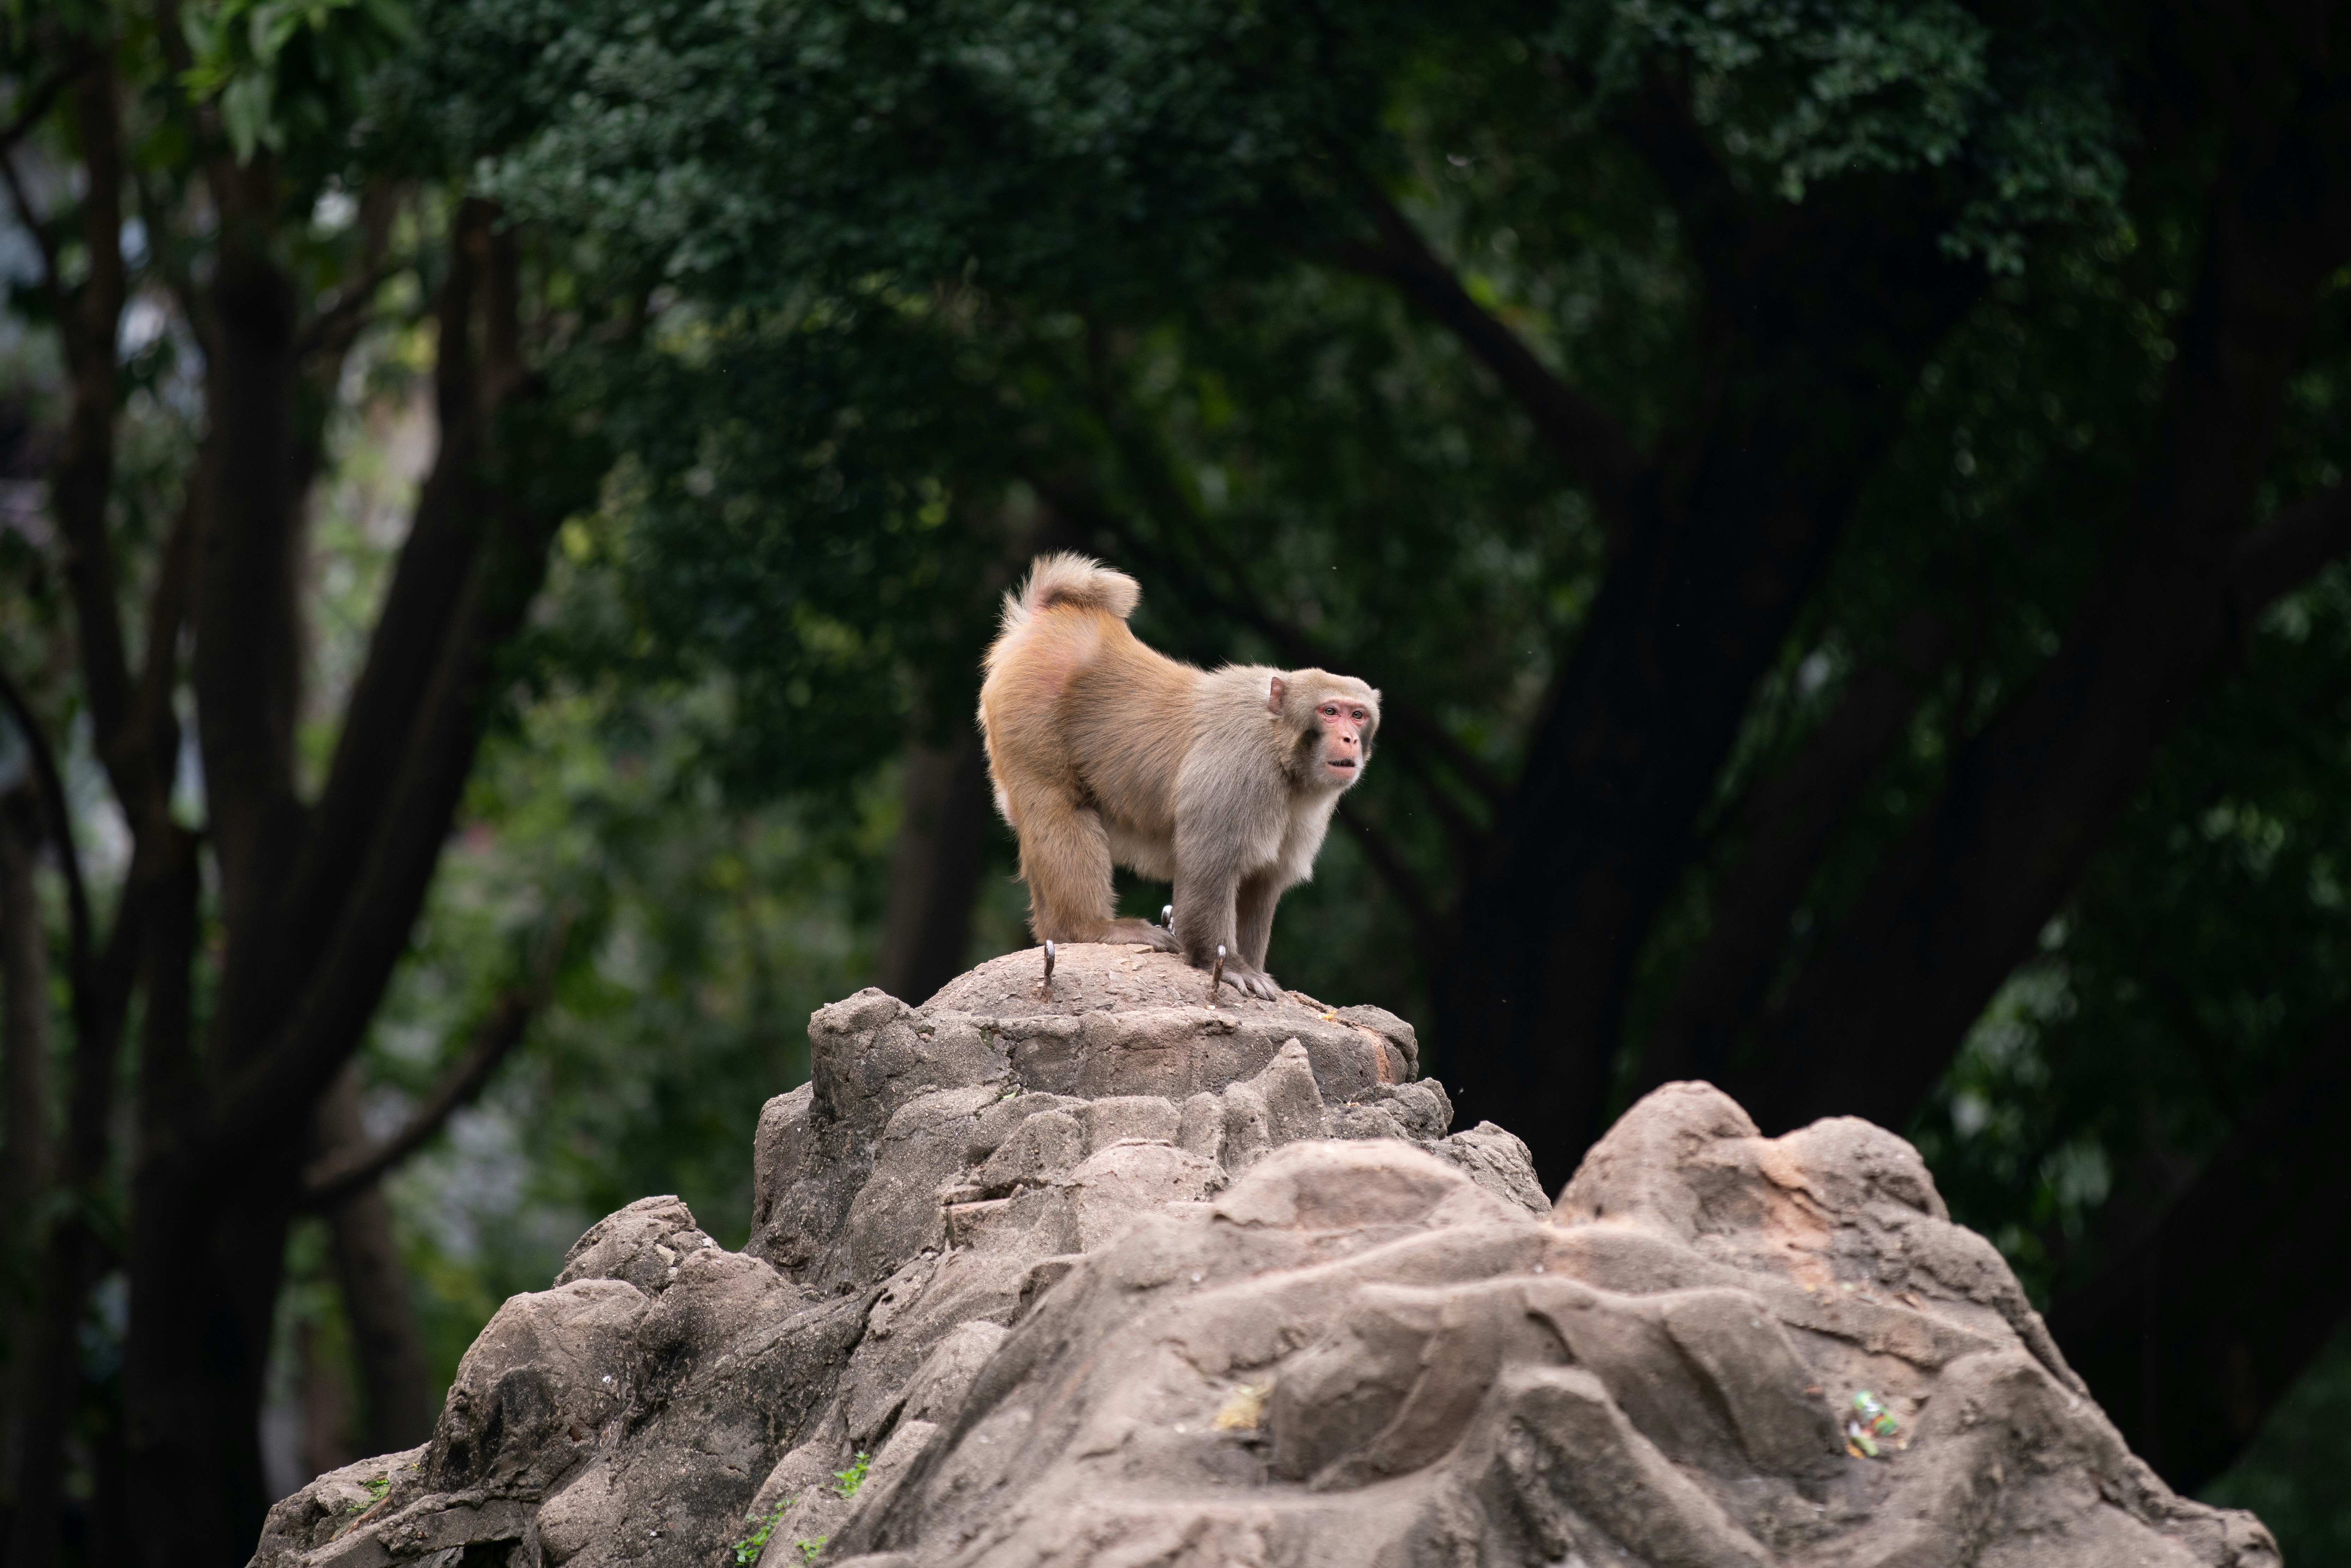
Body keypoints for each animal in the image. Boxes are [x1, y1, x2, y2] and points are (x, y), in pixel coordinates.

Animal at [977, 554, 1381, 1001]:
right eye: (1330, 711)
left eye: (1357, 714)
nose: (1349, 738)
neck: (1283, 752)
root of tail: (1054, 616)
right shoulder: (1240, 769)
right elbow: (1210, 862)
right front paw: (1226, 963)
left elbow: (1262, 881)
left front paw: (1250, 963)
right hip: (1030, 703)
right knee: (1059, 806)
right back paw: (1090, 928)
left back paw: (1060, 933)